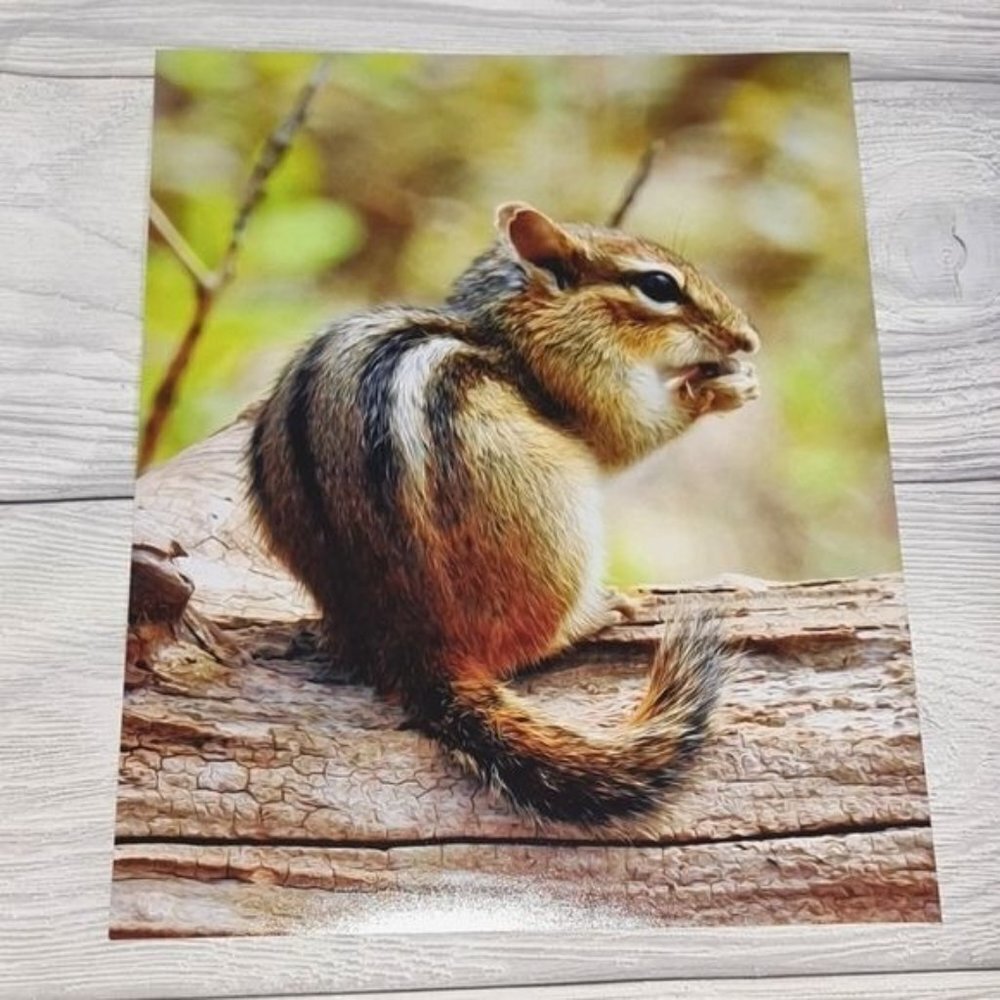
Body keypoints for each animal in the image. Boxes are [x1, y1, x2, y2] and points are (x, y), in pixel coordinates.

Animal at [246, 202, 760, 826]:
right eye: (659, 286)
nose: (748, 339)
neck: (510, 323)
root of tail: (413, 650)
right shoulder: (581, 377)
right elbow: (625, 435)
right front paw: (714, 391)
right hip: (554, 521)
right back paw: (599, 612)